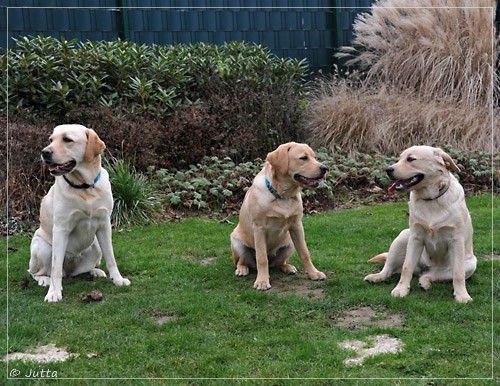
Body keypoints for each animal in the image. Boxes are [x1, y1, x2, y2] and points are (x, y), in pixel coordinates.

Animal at [28, 123, 131, 302]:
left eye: (67, 139)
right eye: (51, 140)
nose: (44, 152)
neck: (85, 187)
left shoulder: (104, 225)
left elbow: (111, 257)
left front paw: (118, 279)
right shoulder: (61, 229)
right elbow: (55, 268)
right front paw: (54, 292)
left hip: (95, 246)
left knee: (82, 269)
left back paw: (95, 271)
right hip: (43, 247)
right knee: (38, 272)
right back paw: (44, 279)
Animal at [230, 142, 328, 290]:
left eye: (314, 157)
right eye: (303, 158)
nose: (325, 168)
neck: (283, 195)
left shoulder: (297, 226)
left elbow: (305, 253)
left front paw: (313, 273)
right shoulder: (259, 229)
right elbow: (262, 258)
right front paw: (262, 281)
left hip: (289, 243)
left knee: (280, 262)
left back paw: (288, 267)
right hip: (237, 243)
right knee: (243, 261)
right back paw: (242, 269)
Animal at [364, 146, 476, 304]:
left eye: (411, 159)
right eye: (399, 158)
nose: (388, 169)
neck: (431, 200)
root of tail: (424, 268)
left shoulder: (456, 240)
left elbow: (458, 274)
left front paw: (462, 295)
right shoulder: (415, 237)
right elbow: (406, 267)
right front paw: (401, 289)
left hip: (470, 264)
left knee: (432, 275)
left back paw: (424, 283)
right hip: (403, 236)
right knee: (390, 269)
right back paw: (377, 277)